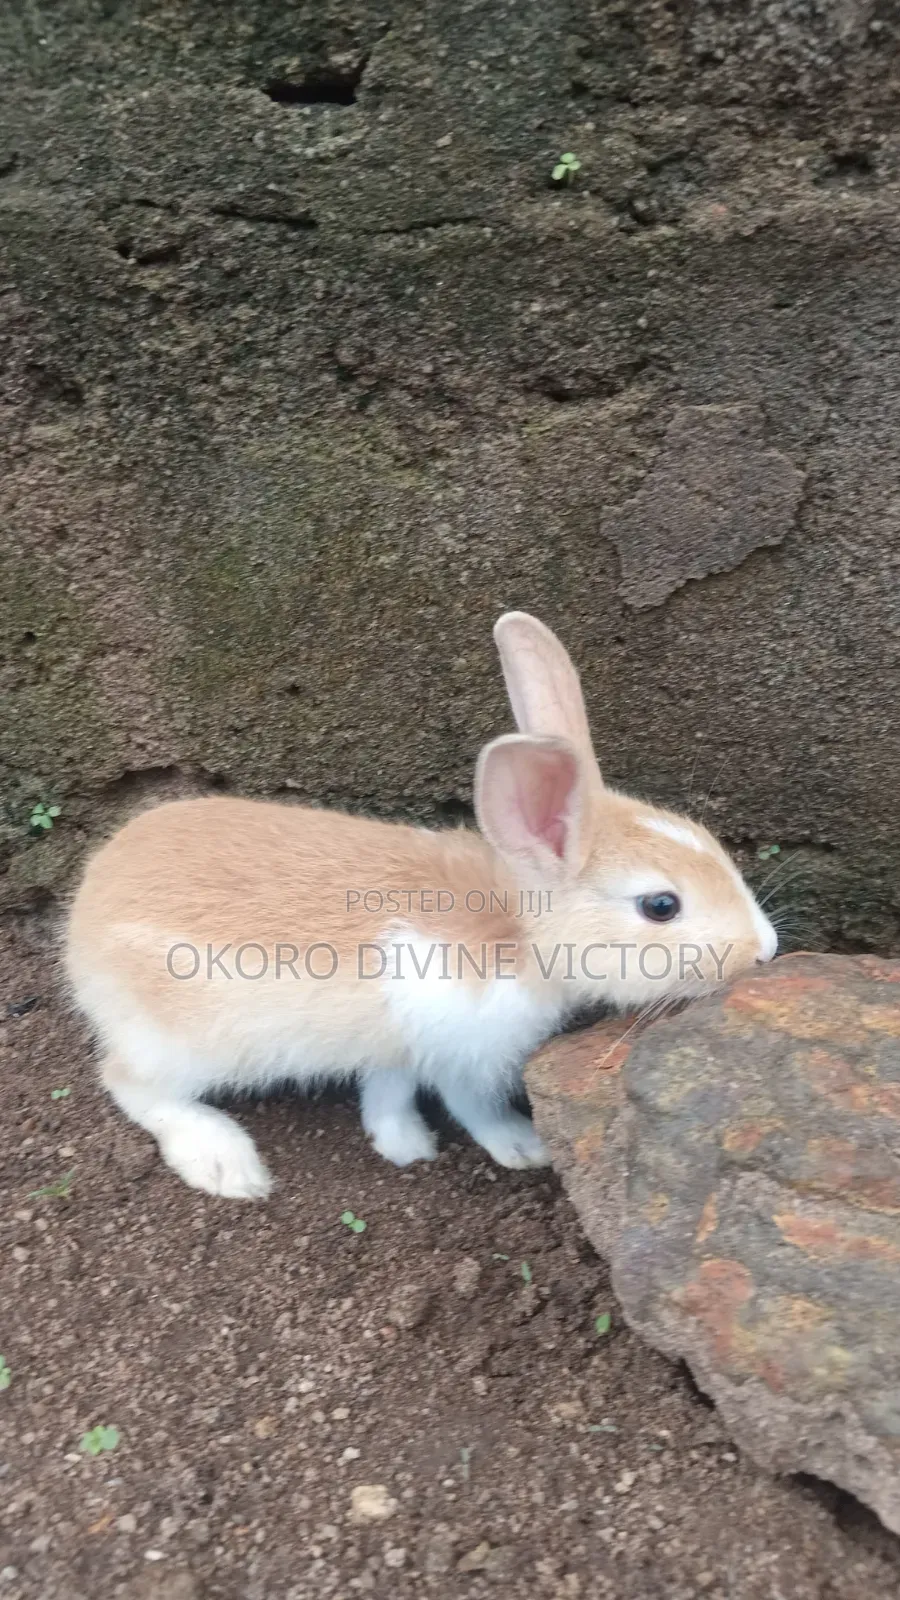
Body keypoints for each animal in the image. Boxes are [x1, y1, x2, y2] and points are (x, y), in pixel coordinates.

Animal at [65, 611, 777, 1199]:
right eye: (660, 905)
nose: (765, 949)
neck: (522, 932)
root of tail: (79, 928)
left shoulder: (398, 1048)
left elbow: (387, 1093)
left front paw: (404, 1146)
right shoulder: (458, 1047)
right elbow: (471, 1104)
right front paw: (523, 1147)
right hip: (182, 1044)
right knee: (129, 1082)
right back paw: (226, 1166)